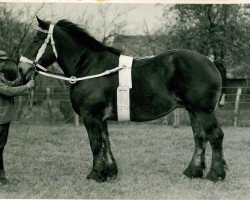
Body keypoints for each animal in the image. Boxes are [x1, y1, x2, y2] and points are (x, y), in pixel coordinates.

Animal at [18, 17, 228, 183]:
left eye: (36, 40)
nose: (22, 69)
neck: (91, 66)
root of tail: (210, 61)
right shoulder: (100, 118)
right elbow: (106, 142)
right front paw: (110, 172)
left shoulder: (91, 116)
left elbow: (95, 144)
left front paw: (96, 174)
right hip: (193, 111)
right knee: (200, 138)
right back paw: (193, 171)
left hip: (204, 111)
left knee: (215, 136)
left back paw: (215, 174)